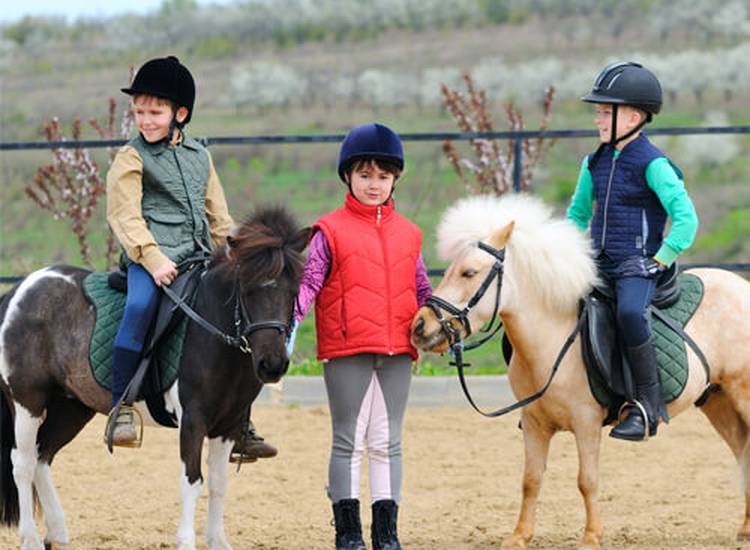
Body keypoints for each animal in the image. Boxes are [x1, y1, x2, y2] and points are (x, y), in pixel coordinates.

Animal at [0, 208, 308, 550]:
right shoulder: (193, 419)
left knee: (43, 457)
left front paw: (217, 540)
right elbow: (192, 480)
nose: (272, 365)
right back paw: (30, 538)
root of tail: (20, 290)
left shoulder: (228, 423)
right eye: (247, 289)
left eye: (294, 291)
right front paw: (186, 542)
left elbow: (218, 483)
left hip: (72, 406)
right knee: (22, 463)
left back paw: (57, 532)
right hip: (28, 401)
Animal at [412, 194, 750, 550]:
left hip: (741, 396)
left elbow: (587, 480)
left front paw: (591, 536)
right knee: (743, 453)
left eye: (469, 272)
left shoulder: (586, 422)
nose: (420, 327)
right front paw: (519, 536)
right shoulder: (534, 424)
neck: (553, 335)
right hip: (717, 402)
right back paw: (744, 528)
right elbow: (530, 480)